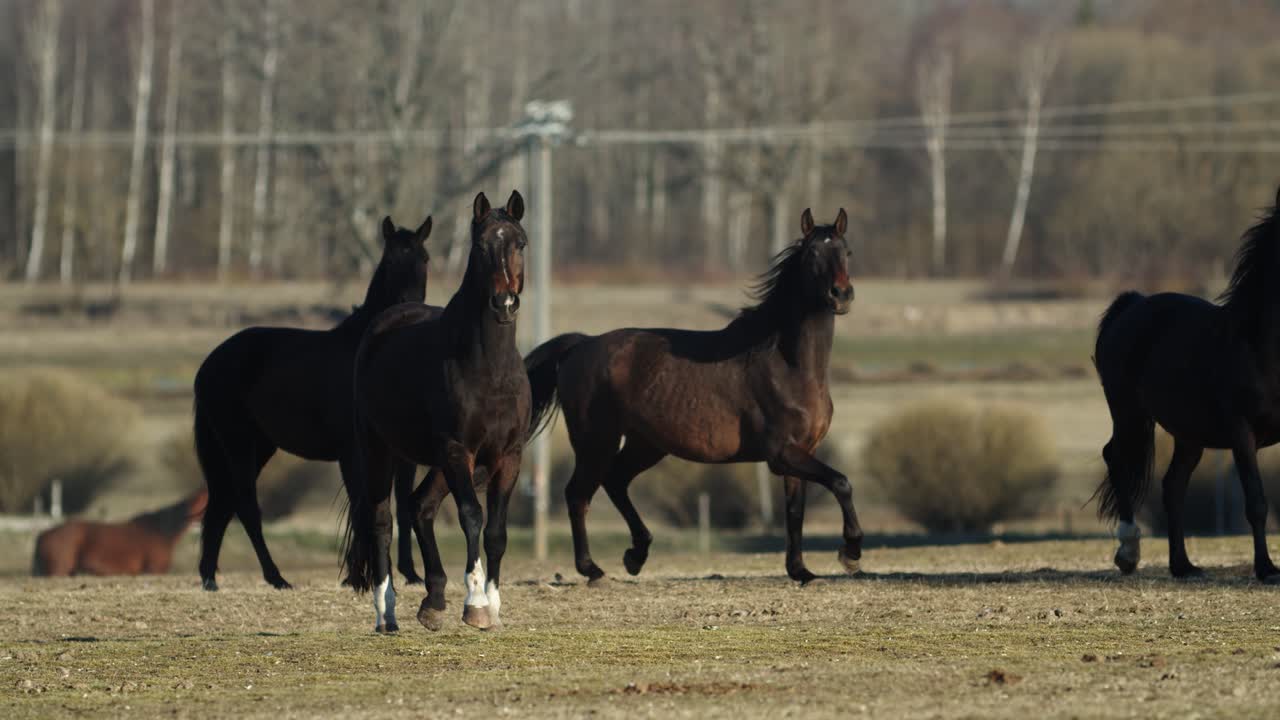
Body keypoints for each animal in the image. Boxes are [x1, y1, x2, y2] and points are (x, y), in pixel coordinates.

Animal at [194, 215, 435, 591]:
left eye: (424, 259)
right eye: (390, 260)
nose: (407, 307)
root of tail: (209, 364)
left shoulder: (402, 457)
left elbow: (402, 507)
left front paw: (409, 573)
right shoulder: (353, 453)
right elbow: (362, 506)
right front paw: (358, 575)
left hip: (256, 447)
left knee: (222, 503)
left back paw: (210, 578)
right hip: (238, 444)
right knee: (245, 505)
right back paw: (276, 577)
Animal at [345, 191, 530, 633]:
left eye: (521, 243)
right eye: (480, 247)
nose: (505, 303)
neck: (490, 369)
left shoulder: (508, 457)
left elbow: (496, 531)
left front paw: (492, 605)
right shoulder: (458, 451)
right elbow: (471, 516)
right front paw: (475, 602)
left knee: (420, 506)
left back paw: (433, 599)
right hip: (380, 452)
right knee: (383, 519)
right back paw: (387, 612)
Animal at [524, 208, 859, 585]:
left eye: (846, 251)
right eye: (813, 253)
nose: (841, 294)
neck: (787, 363)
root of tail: (581, 345)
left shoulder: (803, 451)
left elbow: (795, 512)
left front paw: (801, 570)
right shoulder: (781, 453)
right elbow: (841, 482)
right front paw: (850, 553)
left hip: (646, 444)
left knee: (615, 481)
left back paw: (636, 554)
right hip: (596, 442)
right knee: (578, 494)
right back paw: (592, 568)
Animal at [1095, 184, 1280, 583]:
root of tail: (1133, 304)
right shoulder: (1242, 434)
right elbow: (1256, 501)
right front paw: (1266, 569)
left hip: (1189, 435)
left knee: (1173, 486)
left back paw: (1183, 565)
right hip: (1130, 416)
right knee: (1117, 458)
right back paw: (1128, 553)